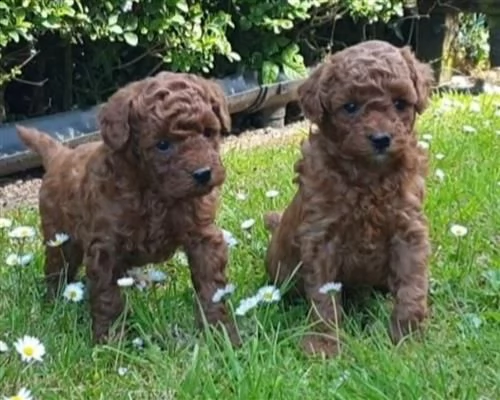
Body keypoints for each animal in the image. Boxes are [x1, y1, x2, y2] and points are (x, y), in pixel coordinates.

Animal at [17, 70, 240, 346]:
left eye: (209, 132)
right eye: (162, 144)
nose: (203, 174)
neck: (155, 192)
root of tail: (60, 155)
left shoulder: (203, 235)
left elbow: (212, 287)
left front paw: (221, 333)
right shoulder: (105, 247)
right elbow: (108, 297)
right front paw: (110, 342)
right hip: (59, 237)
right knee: (57, 269)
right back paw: (52, 303)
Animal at [266, 40, 434, 358]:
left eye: (400, 104)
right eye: (351, 107)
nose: (381, 139)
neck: (368, 178)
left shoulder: (408, 230)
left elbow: (411, 285)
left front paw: (407, 339)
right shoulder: (321, 237)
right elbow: (324, 296)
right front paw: (324, 343)